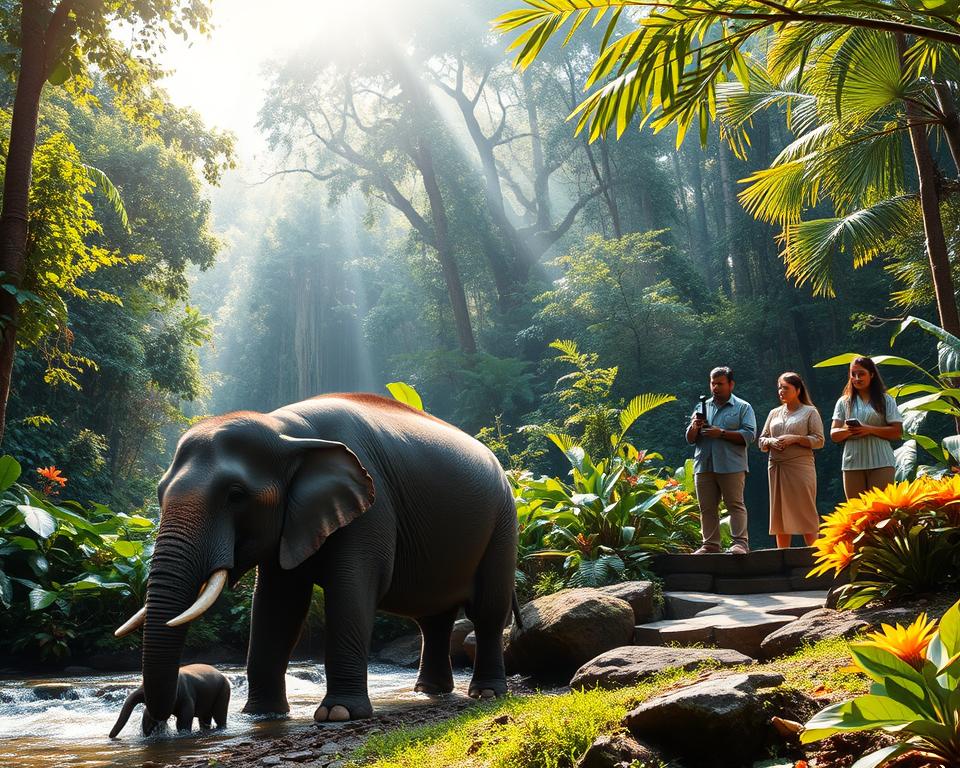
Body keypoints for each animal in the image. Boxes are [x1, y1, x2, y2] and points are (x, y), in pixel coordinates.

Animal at [115, 393, 518, 723]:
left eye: (235, 495)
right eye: (159, 492)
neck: (288, 431)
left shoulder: (372, 506)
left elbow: (351, 588)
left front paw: (338, 714)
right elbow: (278, 604)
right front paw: (260, 714)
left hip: (504, 523)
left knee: (487, 611)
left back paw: (486, 692)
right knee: (434, 620)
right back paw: (429, 692)